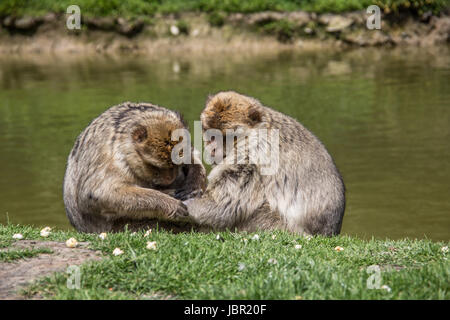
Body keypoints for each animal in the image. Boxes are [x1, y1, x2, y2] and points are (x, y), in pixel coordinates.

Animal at [62, 102, 206, 232]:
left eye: (176, 165)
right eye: (156, 167)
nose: (170, 179)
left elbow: (193, 155)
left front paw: (194, 182)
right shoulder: (109, 157)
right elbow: (98, 194)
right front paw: (169, 203)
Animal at [185, 91, 346, 236]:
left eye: (226, 137)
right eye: (210, 133)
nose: (212, 149)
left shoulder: (251, 155)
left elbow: (225, 206)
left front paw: (187, 206)